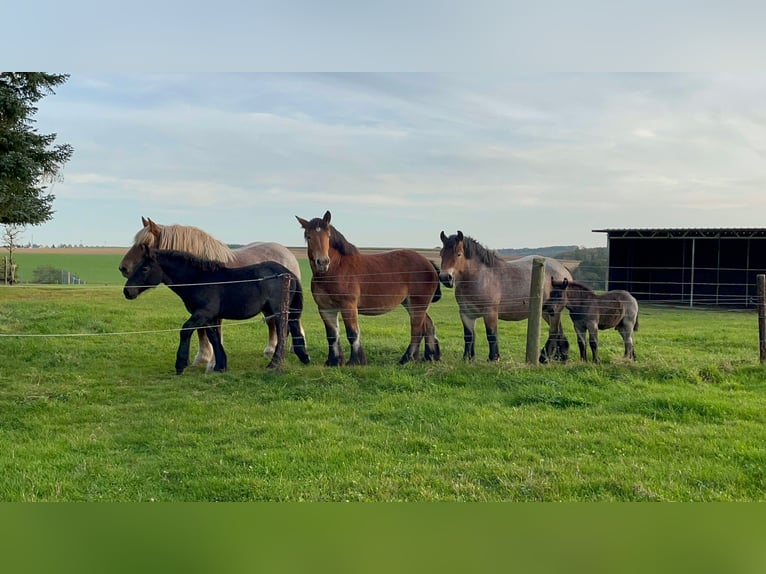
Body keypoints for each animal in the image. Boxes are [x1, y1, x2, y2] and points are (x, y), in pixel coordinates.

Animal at [118, 217, 304, 374]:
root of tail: (287, 267)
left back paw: (280, 360)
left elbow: (193, 331)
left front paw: (187, 364)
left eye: (144, 245)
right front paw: (212, 362)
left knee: (286, 328)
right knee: (279, 327)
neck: (199, 278)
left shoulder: (207, 312)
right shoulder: (204, 314)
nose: (123, 269)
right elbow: (209, 335)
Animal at [298, 212, 444, 368]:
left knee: (417, 330)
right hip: (411, 304)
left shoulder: (348, 306)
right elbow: (332, 335)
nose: (323, 262)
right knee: (428, 325)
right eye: (309, 236)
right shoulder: (325, 309)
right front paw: (334, 361)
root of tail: (428, 263)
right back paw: (430, 356)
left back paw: (406, 359)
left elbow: (352, 333)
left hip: (418, 304)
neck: (335, 269)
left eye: (328, 236)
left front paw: (356, 361)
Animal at [438, 231, 576, 362]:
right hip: (546, 311)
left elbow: (491, 335)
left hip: (554, 311)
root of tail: (563, 269)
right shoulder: (466, 313)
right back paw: (561, 357)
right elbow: (469, 336)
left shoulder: (490, 312)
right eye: (441, 254)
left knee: (554, 332)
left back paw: (545, 358)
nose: (445, 277)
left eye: (458, 254)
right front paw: (468, 358)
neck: (481, 277)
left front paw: (493, 358)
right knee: (559, 332)